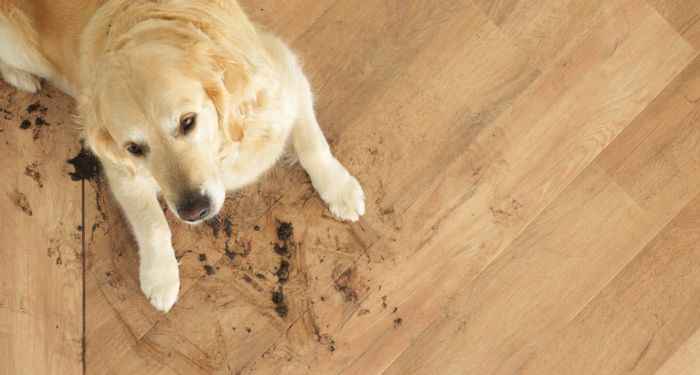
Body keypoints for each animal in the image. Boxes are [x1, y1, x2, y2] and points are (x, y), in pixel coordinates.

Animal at [2, 0, 366, 312]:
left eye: (187, 122)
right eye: (134, 148)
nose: (194, 211)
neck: (222, 149)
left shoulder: (285, 74)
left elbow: (312, 144)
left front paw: (340, 189)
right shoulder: (121, 171)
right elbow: (151, 222)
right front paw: (160, 276)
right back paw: (23, 76)